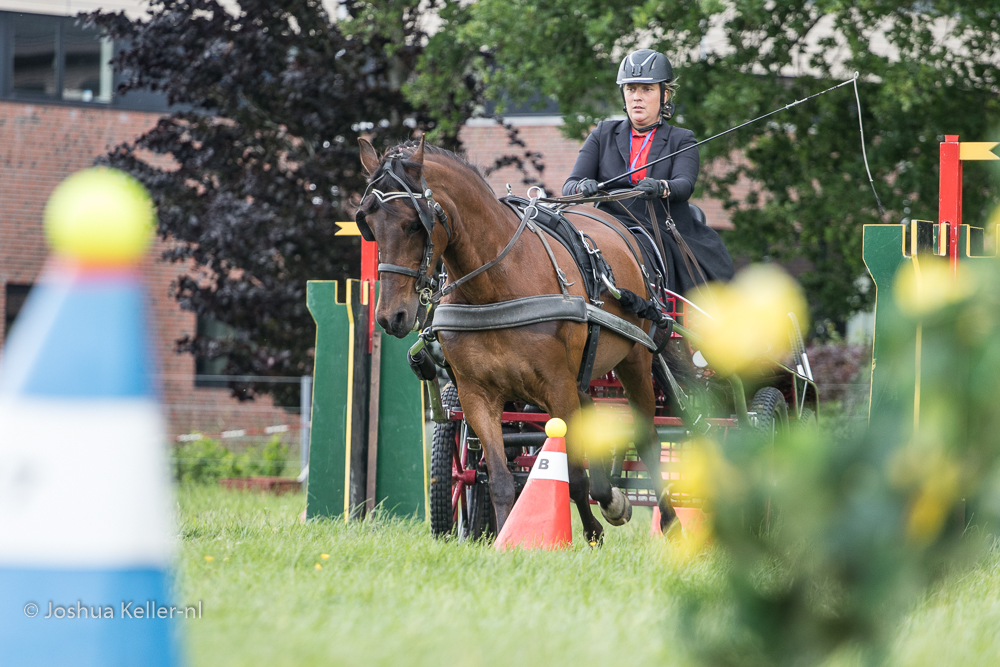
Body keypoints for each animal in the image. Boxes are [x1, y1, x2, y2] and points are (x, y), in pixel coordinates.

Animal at [356, 137, 676, 548]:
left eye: (414, 224)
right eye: (369, 225)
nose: (390, 316)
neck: (495, 287)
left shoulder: (556, 387)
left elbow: (573, 475)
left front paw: (590, 530)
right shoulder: (477, 397)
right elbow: (500, 479)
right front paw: (506, 539)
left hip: (634, 359)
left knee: (647, 434)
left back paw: (667, 520)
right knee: (589, 410)